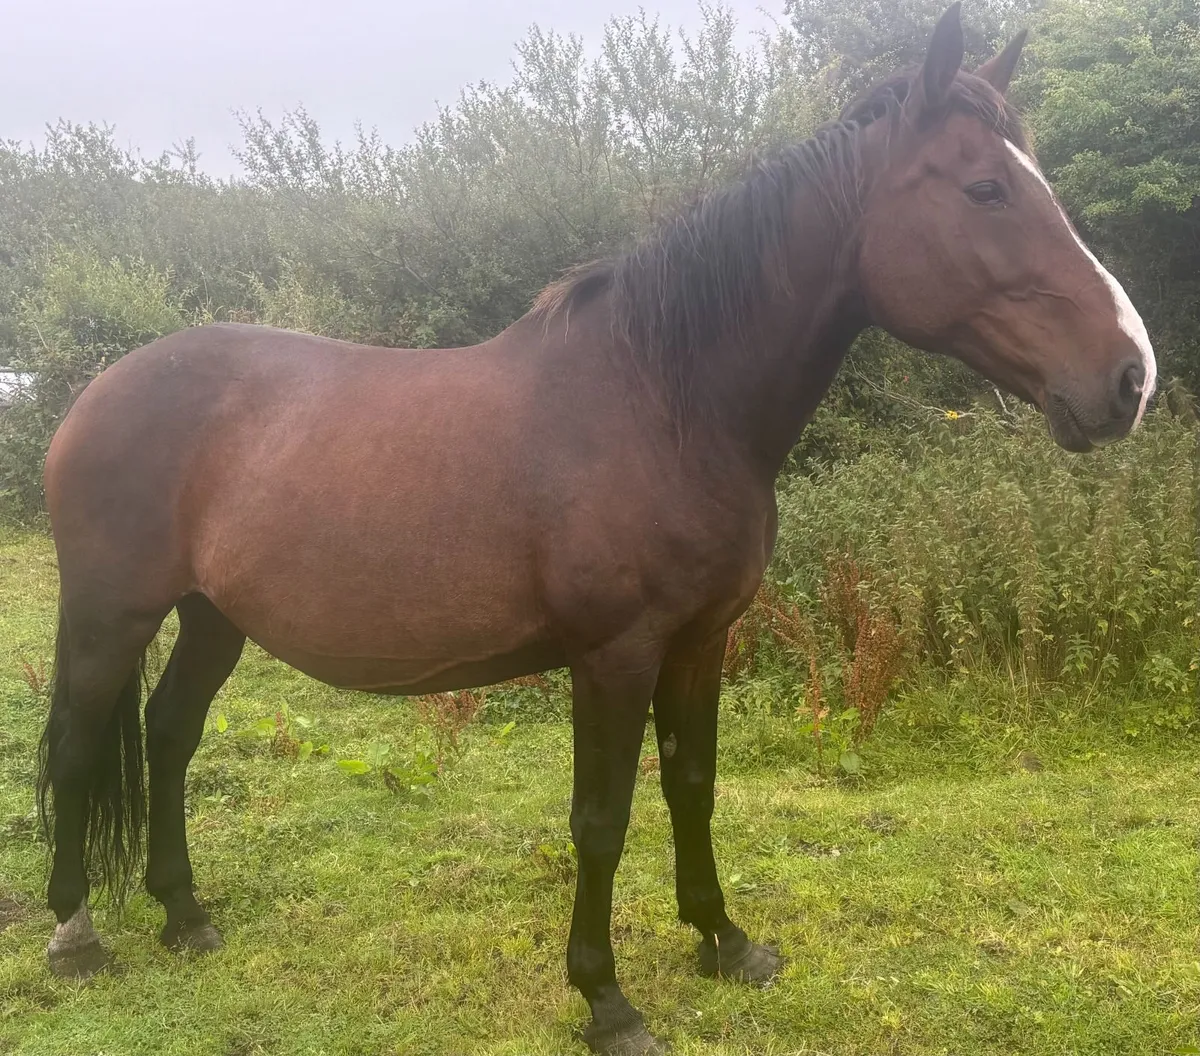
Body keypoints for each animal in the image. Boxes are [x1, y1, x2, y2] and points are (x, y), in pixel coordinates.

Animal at [35, 6, 1155, 1053]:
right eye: (985, 190)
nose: (1130, 377)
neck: (663, 402)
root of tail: (101, 392)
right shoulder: (613, 654)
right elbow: (602, 820)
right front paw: (607, 1000)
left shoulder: (700, 640)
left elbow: (693, 787)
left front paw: (725, 943)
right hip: (110, 613)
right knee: (81, 746)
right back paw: (76, 935)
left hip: (211, 615)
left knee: (169, 734)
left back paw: (184, 915)